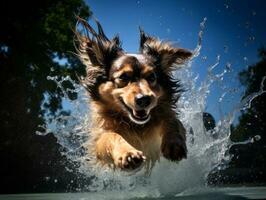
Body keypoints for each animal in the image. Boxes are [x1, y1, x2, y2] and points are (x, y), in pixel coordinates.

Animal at [76, 17, 192, 173]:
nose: (144, 99)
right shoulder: (99, 140)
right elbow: (111, 135)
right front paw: (127, 154)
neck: (136, 126)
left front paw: (173, 142)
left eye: (151, 77)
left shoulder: (166, 118)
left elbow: (172, 121)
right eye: (123, 77)